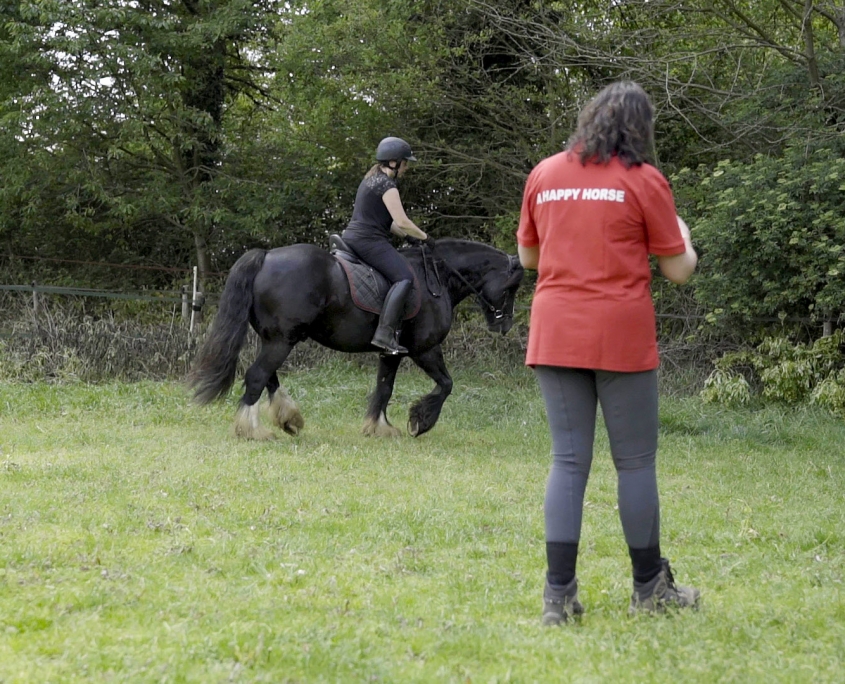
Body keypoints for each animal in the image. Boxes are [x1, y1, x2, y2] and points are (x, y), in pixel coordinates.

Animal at [190, 238, 520, 440]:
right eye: (512, 287)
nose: (504, 325)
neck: (436, 279)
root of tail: (266, 256)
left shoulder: (392, 353)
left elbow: (384, 388)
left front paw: (379, 427)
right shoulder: (425, 349)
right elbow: (446, 384)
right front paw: (420, 421)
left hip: (275, 339)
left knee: (267, 377)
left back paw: (288, 419)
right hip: (282, 341)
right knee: (258, 376)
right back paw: (252, 430)